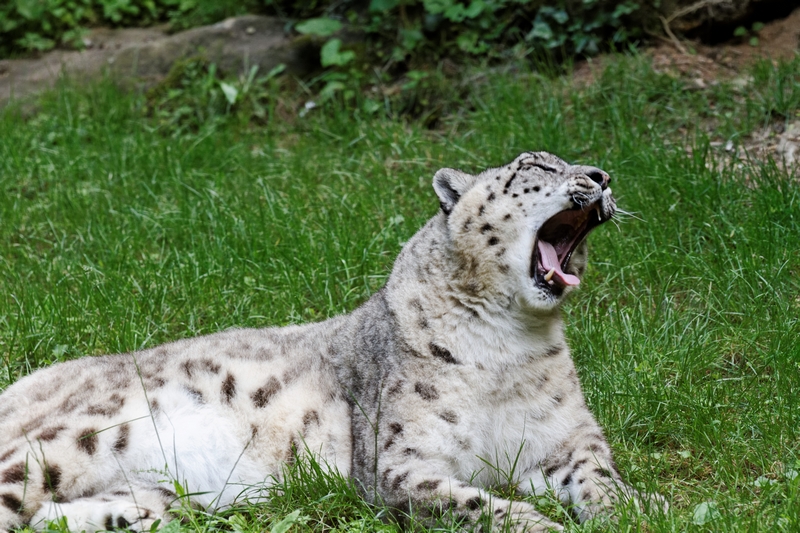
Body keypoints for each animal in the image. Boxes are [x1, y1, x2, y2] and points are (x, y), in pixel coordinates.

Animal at [0, 152, 664, 528]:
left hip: (153, 482)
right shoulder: (402, 461)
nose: (603, 177)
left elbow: (600, 476)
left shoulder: (564, 439)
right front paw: (542, 524)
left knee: (46, 516)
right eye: (538, 167)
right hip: (65, 440)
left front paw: (637, 509)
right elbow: (476, 503)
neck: (508, 347)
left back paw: (126, 517)